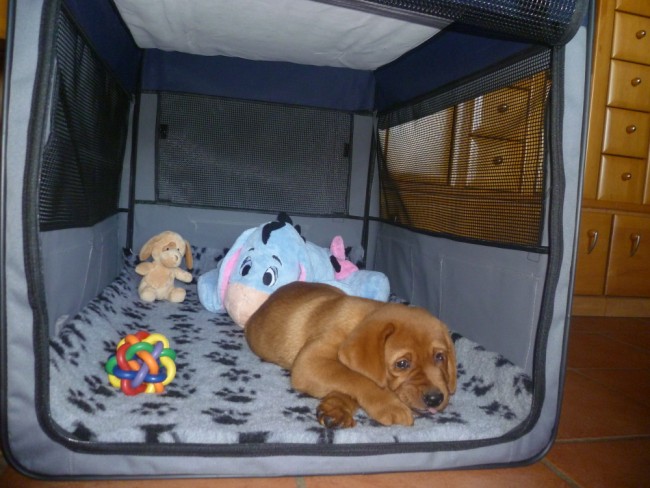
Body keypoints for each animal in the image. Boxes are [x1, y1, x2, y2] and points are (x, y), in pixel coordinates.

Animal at [245, 281, 457, 428]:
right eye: (402, 364)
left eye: (440, 357)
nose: (435, 399)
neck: (357, 324)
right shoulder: (310, 363)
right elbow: (358, 378)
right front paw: (391, 406)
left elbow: (348, 382)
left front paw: (336, 408)